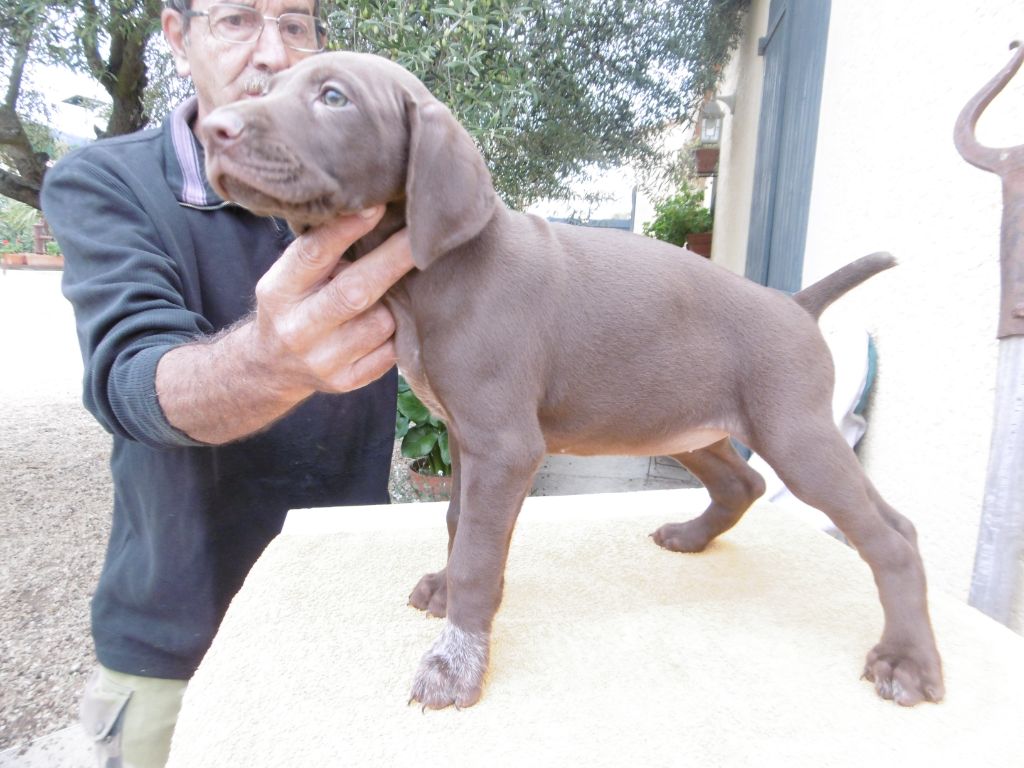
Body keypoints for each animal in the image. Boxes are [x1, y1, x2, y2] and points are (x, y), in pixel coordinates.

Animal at [200, 51, 944, 709]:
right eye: (265, 87)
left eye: (334, 97)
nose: (212, 129)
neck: (429, 274)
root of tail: (795, 303)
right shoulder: (467, 437)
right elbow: (458, 522)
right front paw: (448, 593)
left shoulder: (504, 446)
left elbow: (478, 553)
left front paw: (455, 663)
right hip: (686, 423)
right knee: (746, 483)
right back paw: (693, 537)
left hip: (793, 433)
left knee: (892, 535)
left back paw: (908, 660)